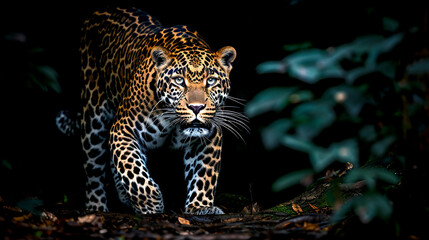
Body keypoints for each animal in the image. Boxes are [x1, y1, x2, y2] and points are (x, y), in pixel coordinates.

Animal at [56, 6, 247, 215]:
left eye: (211, 81)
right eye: (179, 81)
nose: (196, 107)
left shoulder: (210, 136)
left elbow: (204, 175)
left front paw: (201, 206)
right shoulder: (122, 130)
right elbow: (132, 168)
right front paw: (151, 203)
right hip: (93, 117)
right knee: (93, 169)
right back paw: (96, 207)